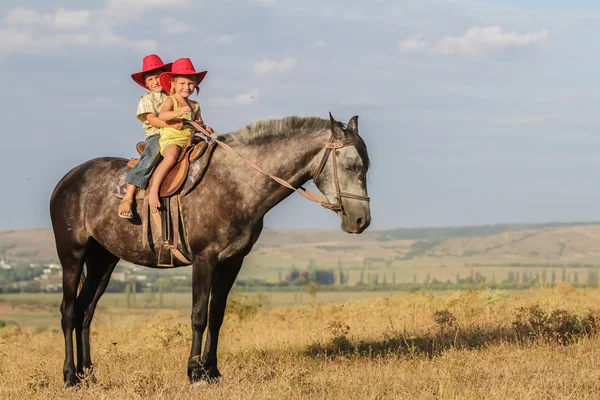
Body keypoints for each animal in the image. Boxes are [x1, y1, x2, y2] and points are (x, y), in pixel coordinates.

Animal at [50, 111, 370, 384]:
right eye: (350, 166)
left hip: (103, 261)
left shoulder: (232, 262)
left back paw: (88, 375)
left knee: (85, 312)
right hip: (72, 256)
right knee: (68, 311)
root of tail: (66, 180)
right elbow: (199, 316)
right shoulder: (205, 260)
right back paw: (69, 376)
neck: (237, 184)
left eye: (366, 166)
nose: (361, 220)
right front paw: (194, 372)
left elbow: (217, 316)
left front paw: (212, 371)